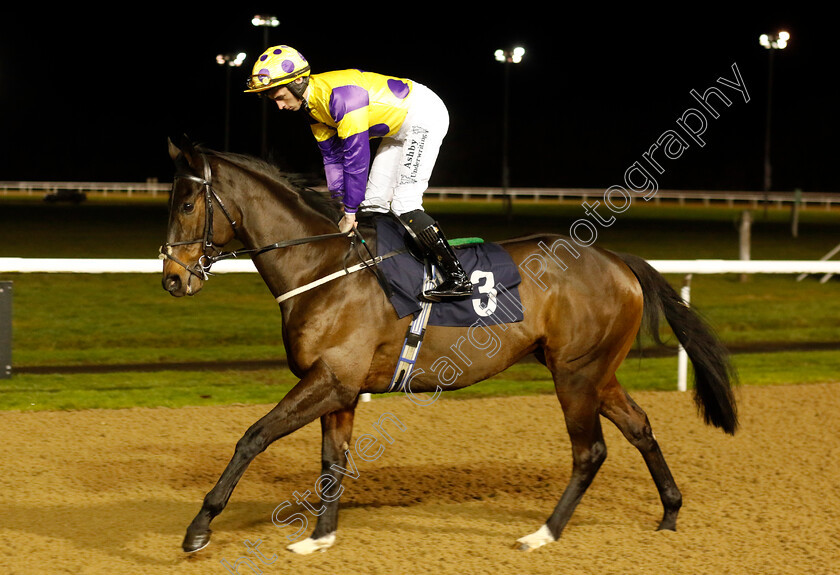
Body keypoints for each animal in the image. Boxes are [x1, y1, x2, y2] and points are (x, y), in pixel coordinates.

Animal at [162, 137, 736, 556]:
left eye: (187, 203)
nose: (172, 279)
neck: (322, 270)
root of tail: (619, 261)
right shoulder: (339, 387)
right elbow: (333, 459)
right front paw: (320, 536)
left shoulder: (330, 378)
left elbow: (252, 437)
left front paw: (199, 526)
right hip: (596, 371)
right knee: (640, 427)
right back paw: (670, 511)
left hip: (575, 374)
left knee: (589, 451)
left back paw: (544, 532)